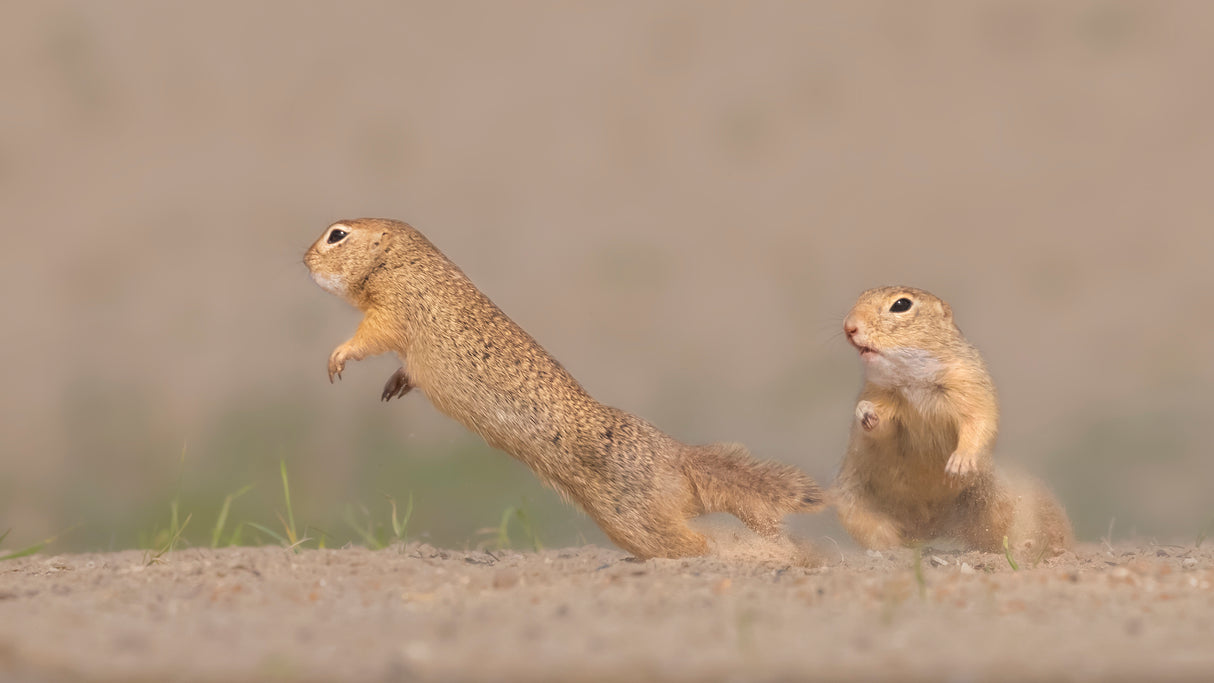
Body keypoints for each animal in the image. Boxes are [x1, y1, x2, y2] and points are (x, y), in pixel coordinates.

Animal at [303, 218, 823, 559]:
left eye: (337, 234)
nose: (304, 258)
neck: (403, 261)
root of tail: (676, 456)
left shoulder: (394, 309)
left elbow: (370, 336)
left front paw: (337, 358)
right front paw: (394, 384)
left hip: (636, 519)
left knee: (694, 543)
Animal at [831, 286, 1073, 555]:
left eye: (901, 305)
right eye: (861, 295)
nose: (848, 326)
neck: (913, 379)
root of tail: (930, 528)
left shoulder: (968, 383)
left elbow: (978, 421)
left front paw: (960, 462)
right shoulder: (879, 392)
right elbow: (883, 428)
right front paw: (866, 412)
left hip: (995, 505)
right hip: (853, 505)